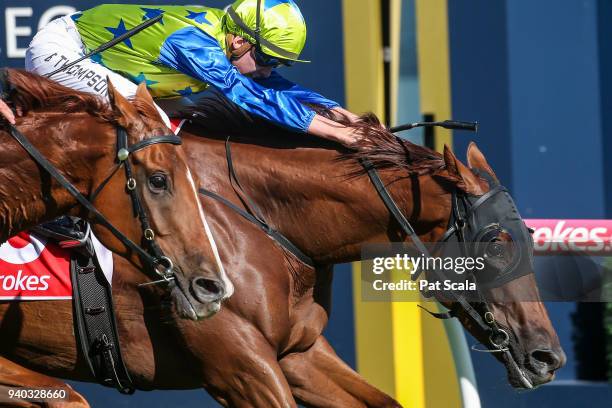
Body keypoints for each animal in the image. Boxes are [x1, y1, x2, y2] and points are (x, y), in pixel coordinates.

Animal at [0, 96, 564, 408]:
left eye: (529, 237)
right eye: (495, 241)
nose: (548, 357)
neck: (264, 224)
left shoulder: (299, 354)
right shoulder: (241, 369)